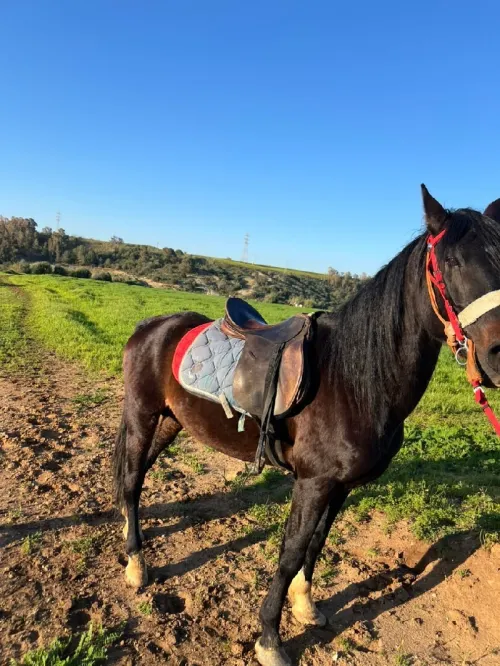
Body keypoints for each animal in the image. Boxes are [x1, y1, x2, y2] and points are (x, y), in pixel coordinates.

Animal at [113, 186, 500, 666]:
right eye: (451, 263)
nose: (498, 355)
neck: (356, 380)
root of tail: (151, 326)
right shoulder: (313, 482)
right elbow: (291, 551)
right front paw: (269, 639)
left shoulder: (342, 485)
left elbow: (315, 545)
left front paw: (306, 607)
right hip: (142, 415)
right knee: (132, 481)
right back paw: (136, 565)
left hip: (170, 422)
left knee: (137, 475)